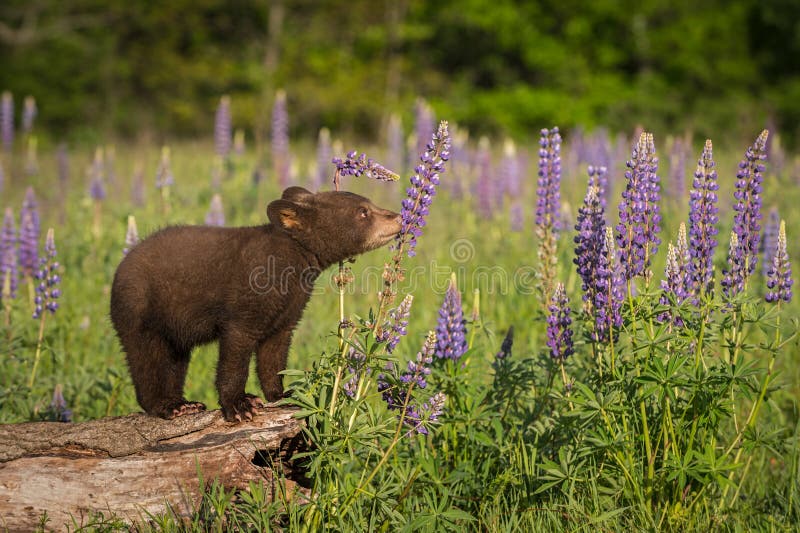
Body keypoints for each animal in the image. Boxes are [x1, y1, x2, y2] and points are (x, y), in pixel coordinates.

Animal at [110, 186, 401, 422]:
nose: (398, 216)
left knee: (174, 361)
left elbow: (274, 355)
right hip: (139, 313)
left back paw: (184, 403)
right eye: (363, 211)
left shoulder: (288, 310)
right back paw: (166, 406)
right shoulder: (246, 306)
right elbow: (235, 356)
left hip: (174, 331)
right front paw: (239, 406)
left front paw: (284, 395)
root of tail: (121, 266)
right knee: (145, 360)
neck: (291, 264)